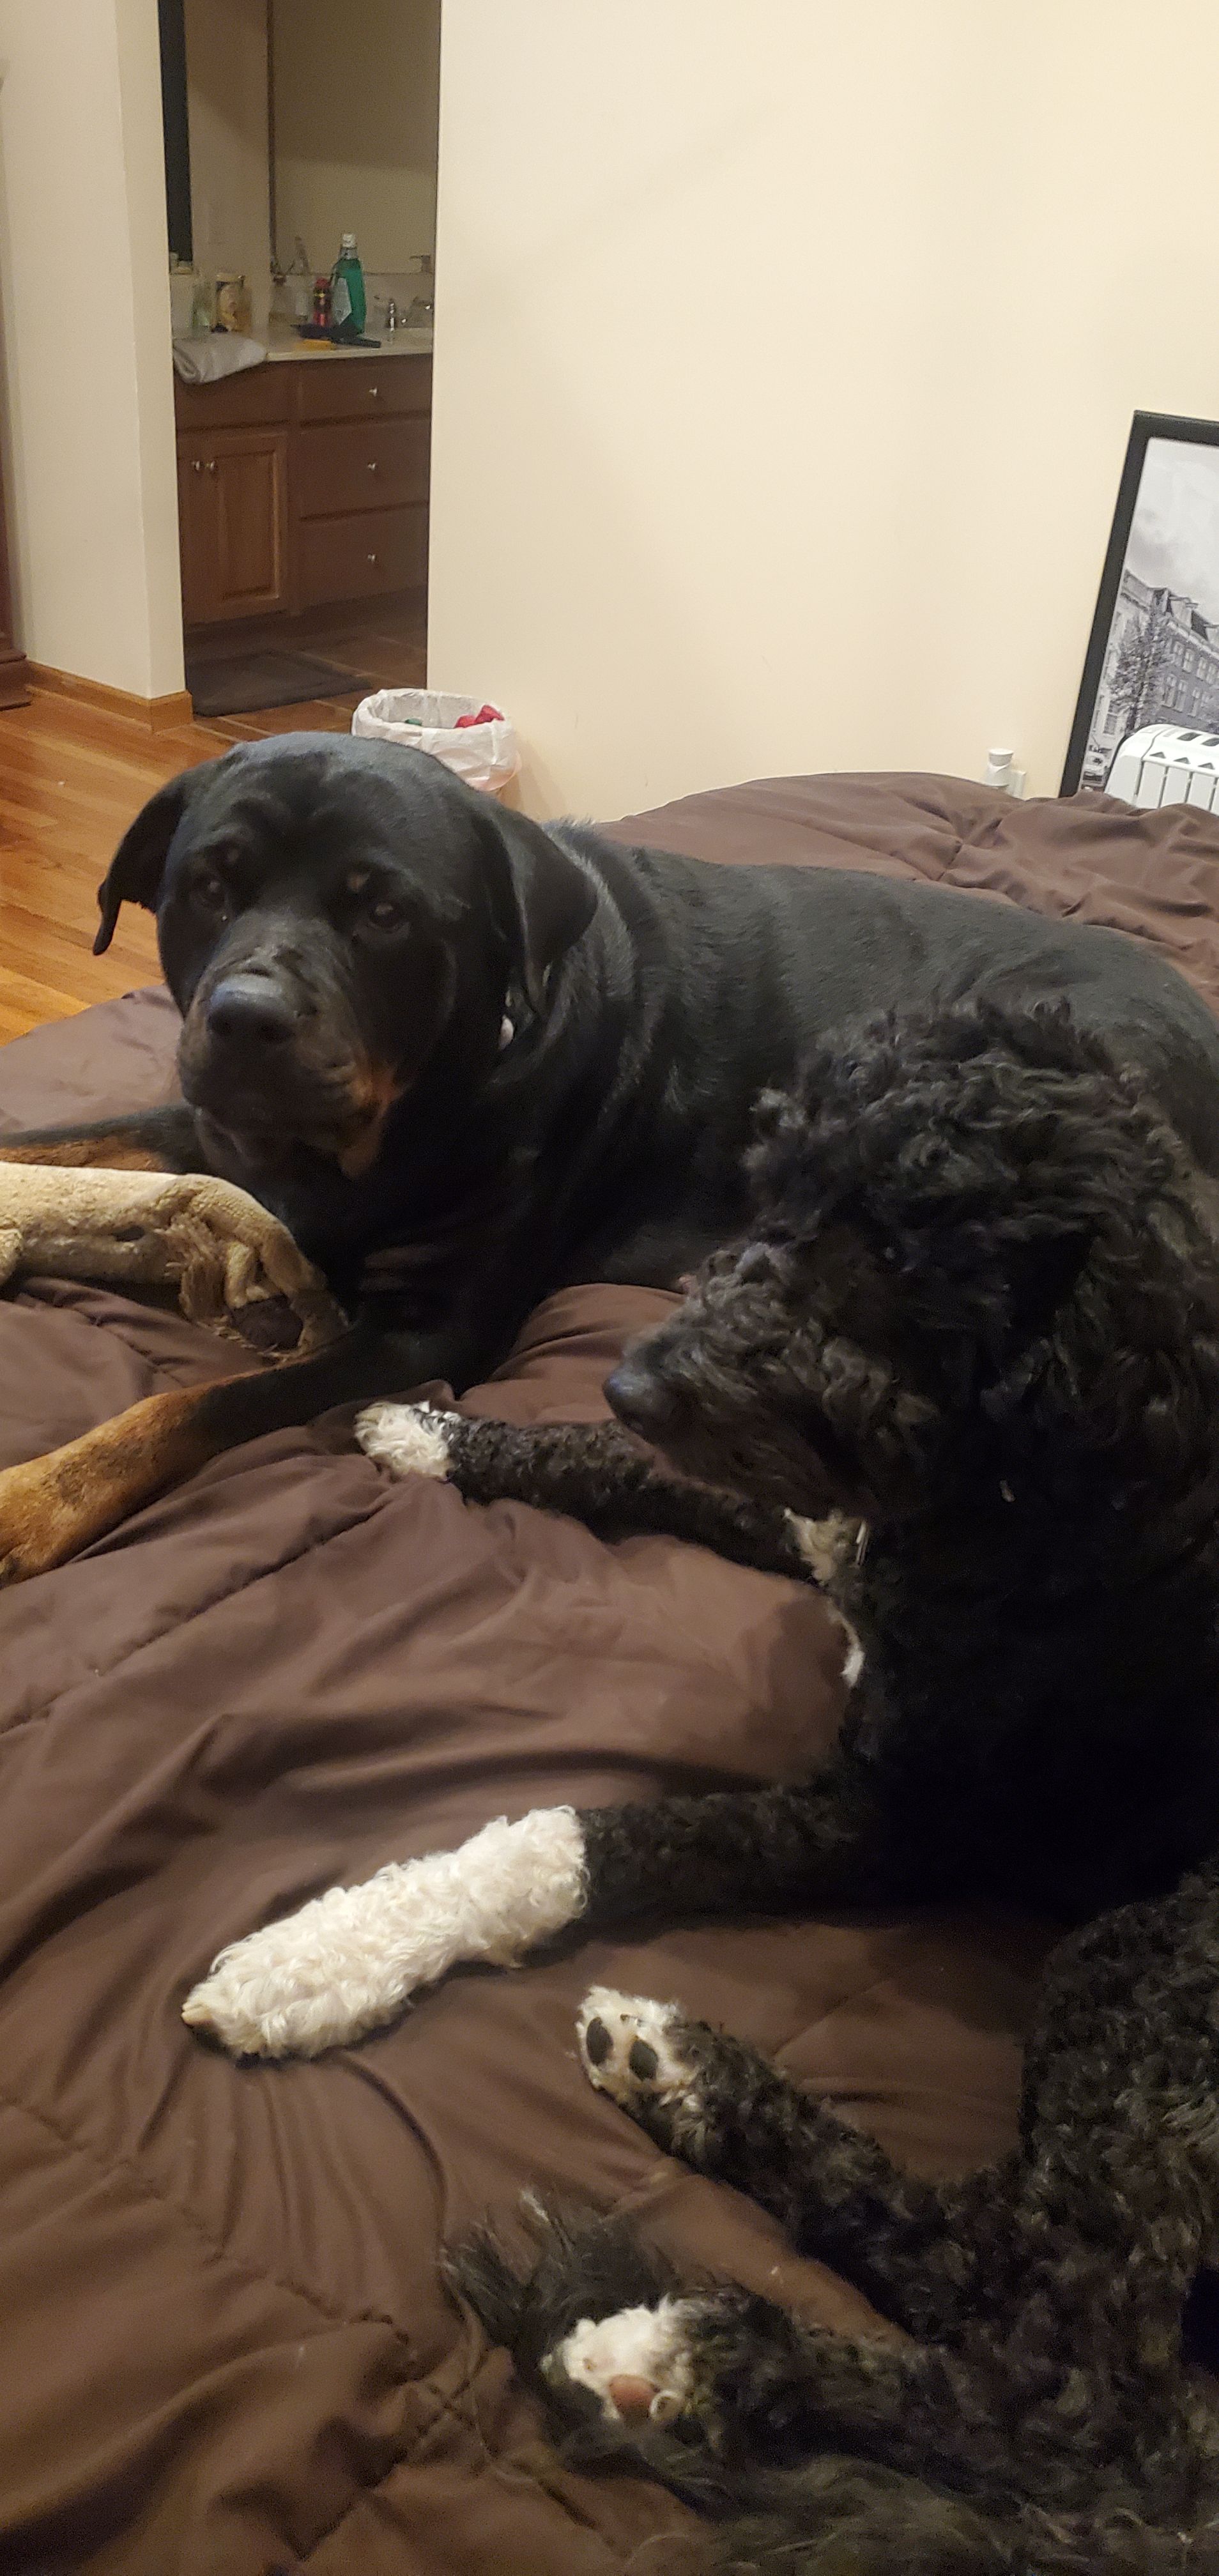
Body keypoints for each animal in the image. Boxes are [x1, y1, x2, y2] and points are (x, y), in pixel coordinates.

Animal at [1, 733, 1219, 1583]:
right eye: (209, 886)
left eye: (384, 911)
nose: (246, 1016)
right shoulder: (210, 1128)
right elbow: (76, 1143)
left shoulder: (426, 1332)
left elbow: (197, 1405)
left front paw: (41, 1496)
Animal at [183, 1000, 1219, 2570]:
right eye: (777, 1191)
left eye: (903, 1255)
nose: (634, 1374)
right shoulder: (820, 1512)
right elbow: (635, 1472)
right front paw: (439, 1432)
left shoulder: (896, 1818)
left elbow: (576, 1836)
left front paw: (330, 1950)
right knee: (996, 2274)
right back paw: (685, 2095)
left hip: (1149, 1967)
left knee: (1077, 2395)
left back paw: (688, 2351)